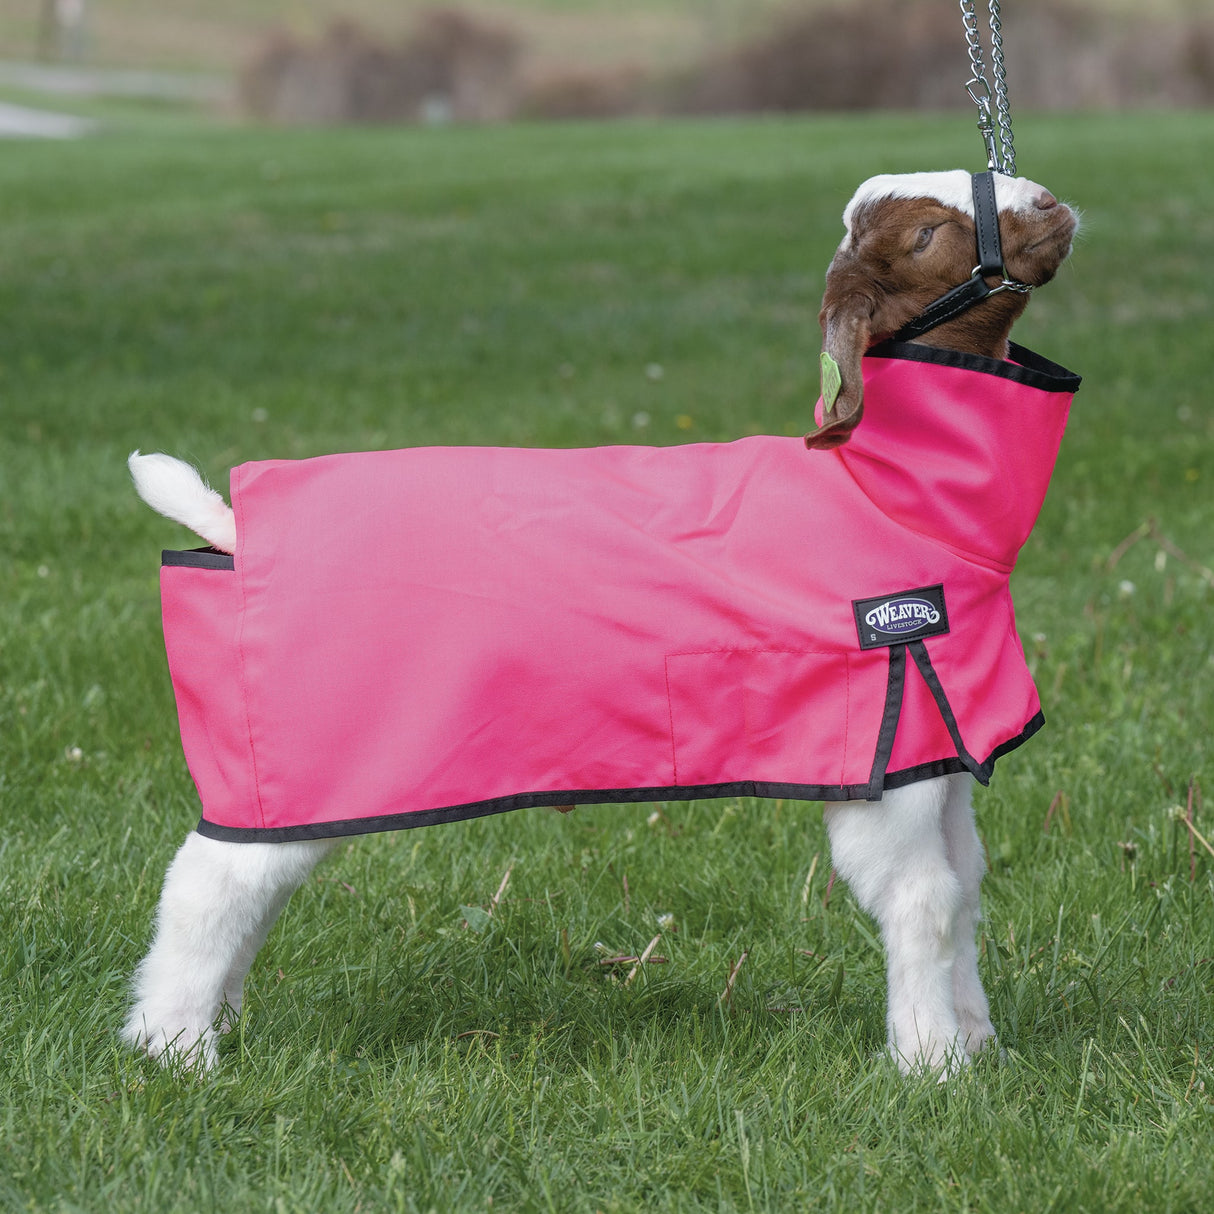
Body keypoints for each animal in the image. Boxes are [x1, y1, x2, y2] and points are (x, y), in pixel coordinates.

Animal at [123, 169, 1077, 1075]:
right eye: (926, 234)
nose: (1050, 203)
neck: (882, 494)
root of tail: (233, 523)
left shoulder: (939, 744)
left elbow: (967, 886)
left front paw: (980, 1044)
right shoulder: (883, 746)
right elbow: (926, 904)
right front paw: (932, 1065)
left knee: (254, 888)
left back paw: (217, 1025)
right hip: (304, 747)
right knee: (209, 884)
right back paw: (174, 1049)